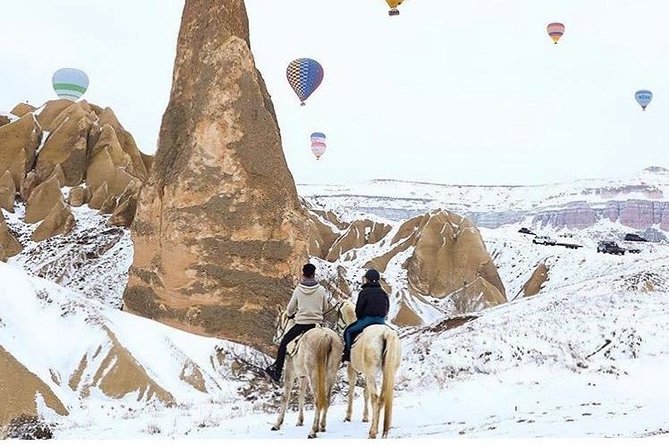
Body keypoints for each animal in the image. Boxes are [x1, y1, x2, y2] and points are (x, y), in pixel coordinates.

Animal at [268, 308, 342, 438]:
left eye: (277, 322)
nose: (275, 338)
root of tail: (327, 337)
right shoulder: (303, 376)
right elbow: (301, 396)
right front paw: (300, 421)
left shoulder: (290, 372)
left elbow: (285, 397)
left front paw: (277, 424)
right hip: (330, 375)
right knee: (327, 399)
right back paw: (322, 426)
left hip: (314, 376)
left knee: (317, 401)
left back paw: (313, 431)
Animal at [340, 300, 402, 440]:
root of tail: (385, 334)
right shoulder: (369, 373)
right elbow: (365, 393)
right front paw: (365, 417)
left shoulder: (352, 369)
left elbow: (352, 391)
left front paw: (348, 416)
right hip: (387, 372)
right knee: (384, 397)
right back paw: (384, 428)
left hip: (371, 373)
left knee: (375, 398)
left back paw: (373, 432)